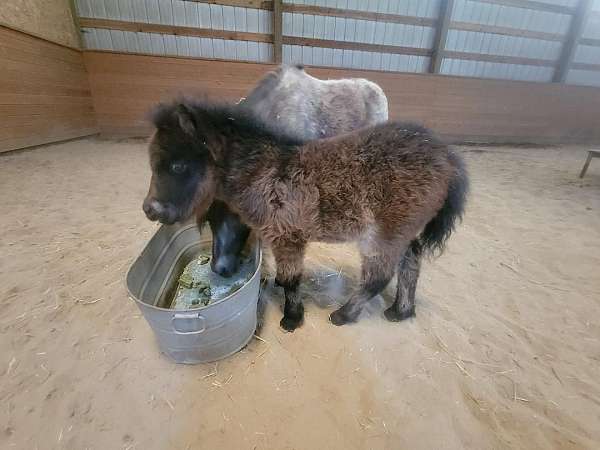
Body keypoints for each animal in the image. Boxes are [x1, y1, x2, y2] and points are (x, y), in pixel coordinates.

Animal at [142, 99, 468, 330]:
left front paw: (291, 318)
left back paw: (344, 315)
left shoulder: (287, 237)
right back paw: (401, 311)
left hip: (384, 233)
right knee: (410, 262)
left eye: (178, 166)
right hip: (402, 230)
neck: (266, 172)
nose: (150, 209)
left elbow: (291, 280)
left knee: (379, 277)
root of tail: (447, 156)